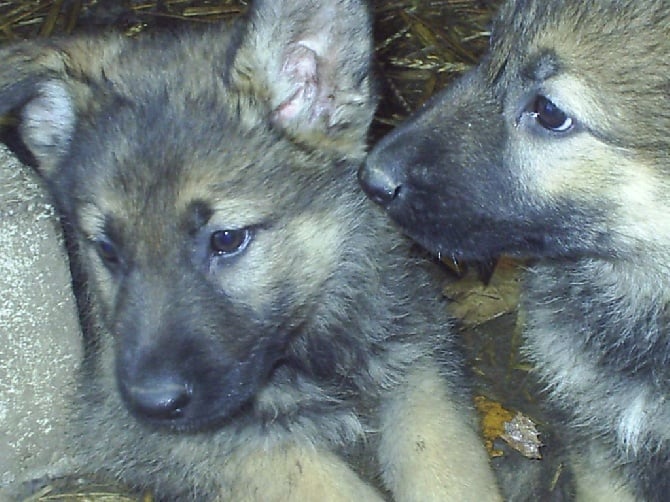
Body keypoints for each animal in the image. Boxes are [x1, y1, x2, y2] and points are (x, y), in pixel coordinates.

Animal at [0, 0, 502, 500]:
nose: (154, 404)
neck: (307, 340)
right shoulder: (133, 423)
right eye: (106, 249)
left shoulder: (417, 348)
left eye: (226, 239)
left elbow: (447, 458)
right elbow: (316, 476)